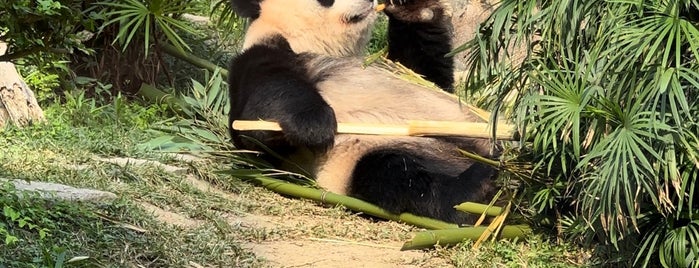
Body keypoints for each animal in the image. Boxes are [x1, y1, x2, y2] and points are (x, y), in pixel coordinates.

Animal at [228, 0, 498, 224]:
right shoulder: (264, 55)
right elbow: (256, 121)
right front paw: (315, 126)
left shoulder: (402, 68)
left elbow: (429, 72)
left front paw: (410, 8)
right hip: (369, 153)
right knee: (398, 176)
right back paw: (480, 187)